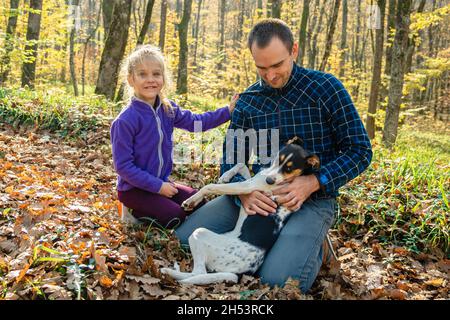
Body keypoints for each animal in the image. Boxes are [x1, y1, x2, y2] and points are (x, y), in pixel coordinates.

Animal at [162, 138, 324, 284]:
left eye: (289, 169)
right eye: (278, 159)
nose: (269, 181)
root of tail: (242, 274)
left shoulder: (247, 186)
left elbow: (210, 187)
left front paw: (192, 200)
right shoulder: (249, 181)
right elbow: (241, 165)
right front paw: (225, 175)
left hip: (200, 233)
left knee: (198, 273)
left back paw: (170, 272)